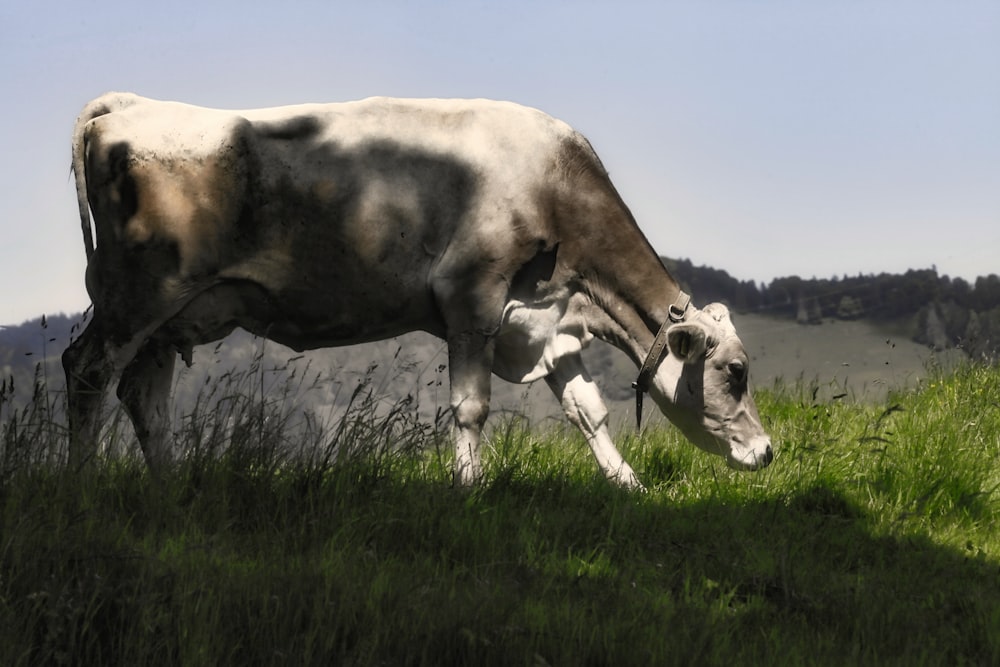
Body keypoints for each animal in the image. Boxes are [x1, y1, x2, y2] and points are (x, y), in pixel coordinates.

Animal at [64, 91, 772, 488]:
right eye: (735, 372)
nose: (767, 452)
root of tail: (131, 105)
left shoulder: (547, 325)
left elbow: (587, 411)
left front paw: (629, 487)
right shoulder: (471, 300)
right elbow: (471, 408)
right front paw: (467, 488)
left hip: (172, 315)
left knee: (144, 394)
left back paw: (169, 488)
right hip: (137, 294)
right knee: (88, 368)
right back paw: (84, 485)